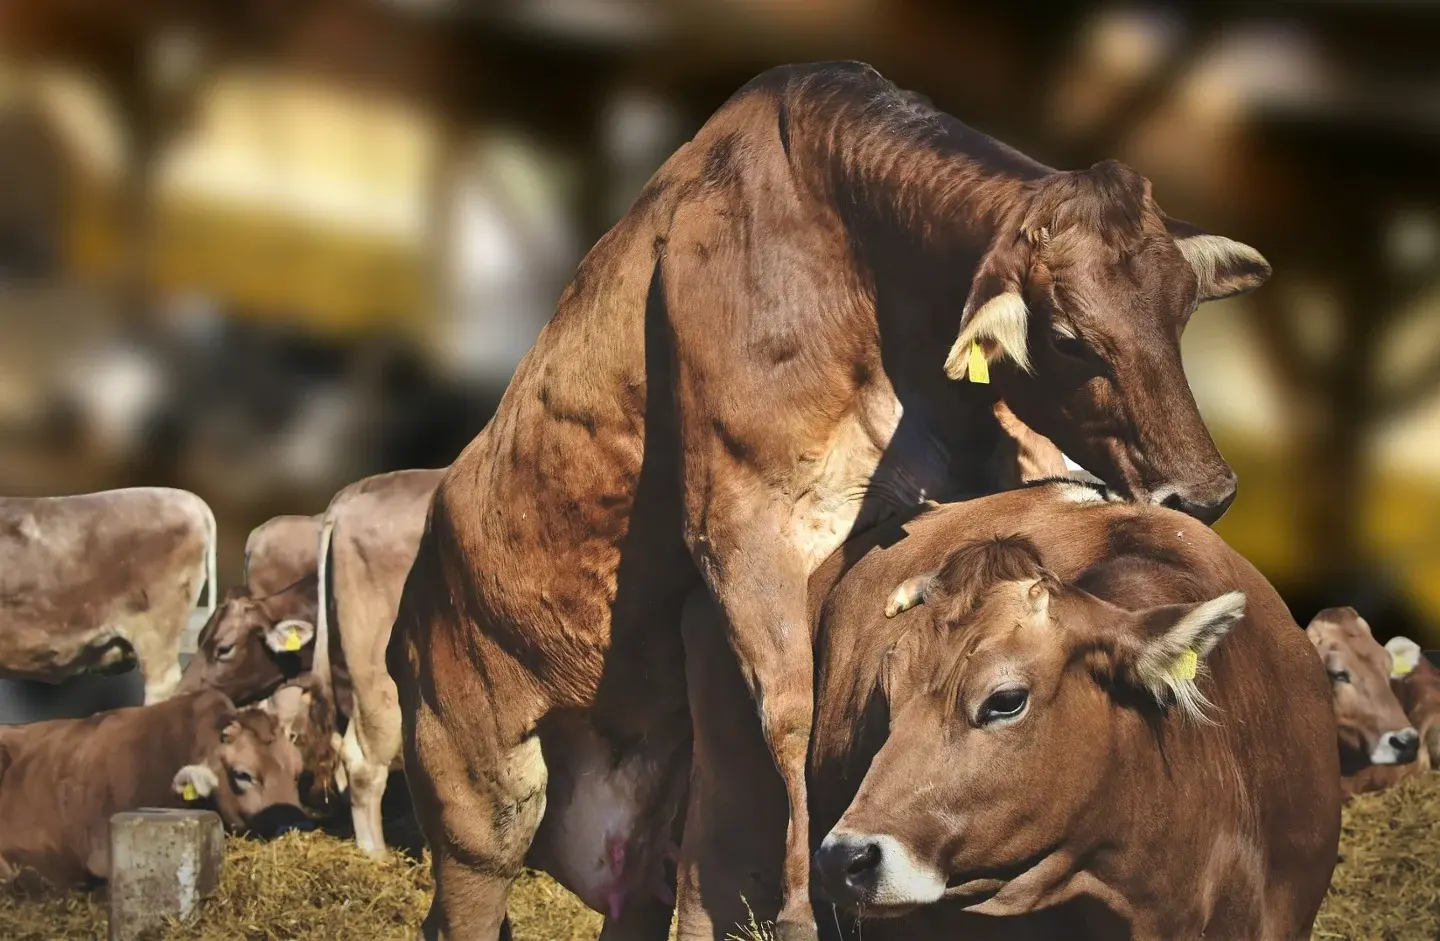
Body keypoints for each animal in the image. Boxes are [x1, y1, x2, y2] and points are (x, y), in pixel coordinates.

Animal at [387, 61, 1273, 940]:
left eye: (1182, 312)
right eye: (1067, 338)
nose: (1204, 489)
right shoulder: (743, 523)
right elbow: (790, 710)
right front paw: (800, 904)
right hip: (476, 783)